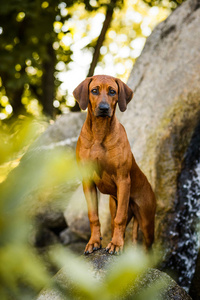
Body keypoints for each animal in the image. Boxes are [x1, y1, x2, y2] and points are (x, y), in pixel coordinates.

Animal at [73, 74, 156, 253]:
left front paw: (117, 244)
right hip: (114, 207)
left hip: (146, 221)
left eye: (112, 92)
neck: (99, 132)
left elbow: (121, 218)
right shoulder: (88, 182)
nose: (104, 108)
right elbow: (93, 216)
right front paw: (94, 241)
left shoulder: (123, 179)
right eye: (94, 91)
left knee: (147, 245)